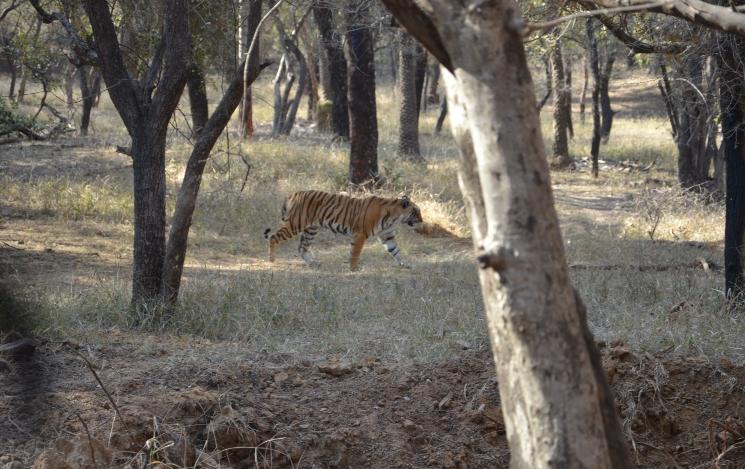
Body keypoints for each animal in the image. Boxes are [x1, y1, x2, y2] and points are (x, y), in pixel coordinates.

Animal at [264, 190, 423, 269]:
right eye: (416, 212)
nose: (422, 221)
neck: (394, 218)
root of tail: (293, 194)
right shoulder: (360, 234)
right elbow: (355, 252)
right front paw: (354, 268)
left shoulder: (387, 236)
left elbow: (396, 251)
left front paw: (406, 264)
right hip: (295, 224)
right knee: (273, 237)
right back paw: (272, 259)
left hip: (311, 229)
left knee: (302, 247)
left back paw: (314, 263)